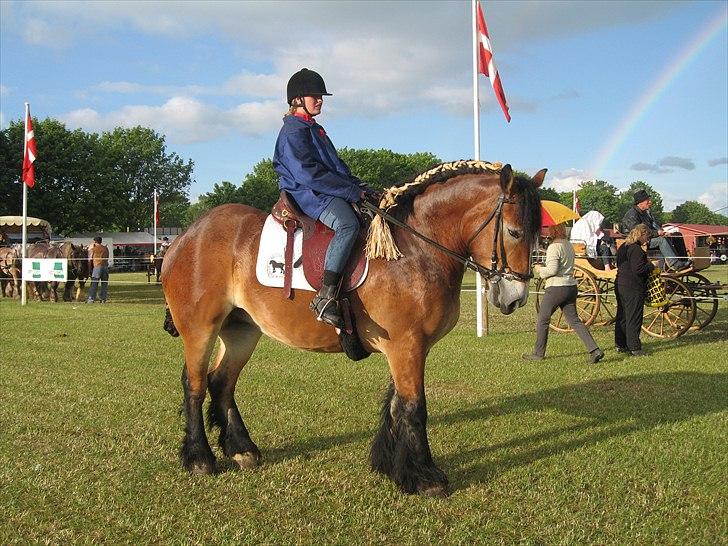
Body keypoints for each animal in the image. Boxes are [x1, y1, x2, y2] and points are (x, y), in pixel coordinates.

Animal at [162, 160, 544, 492]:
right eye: (514, 232)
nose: (516, 298)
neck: (415, 249)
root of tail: (186, 237)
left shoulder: (406, 347)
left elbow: (396, 405)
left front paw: (390, 465)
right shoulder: (407, 344)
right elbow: (413, 408)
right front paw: (424, 477)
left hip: (242, 329)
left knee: (221, 381)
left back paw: (242, 448)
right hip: (201, 327)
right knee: (195, 384)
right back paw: (199, 458)